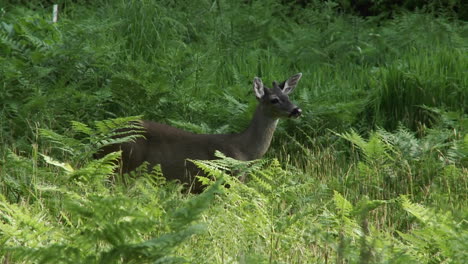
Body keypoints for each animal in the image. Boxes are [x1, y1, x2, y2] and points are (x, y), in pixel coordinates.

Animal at [97, 73, 304, 193]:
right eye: (275, 99)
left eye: (288, 96)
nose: (297, 110)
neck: (244, 150)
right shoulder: (228, 179)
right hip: (124, 161)